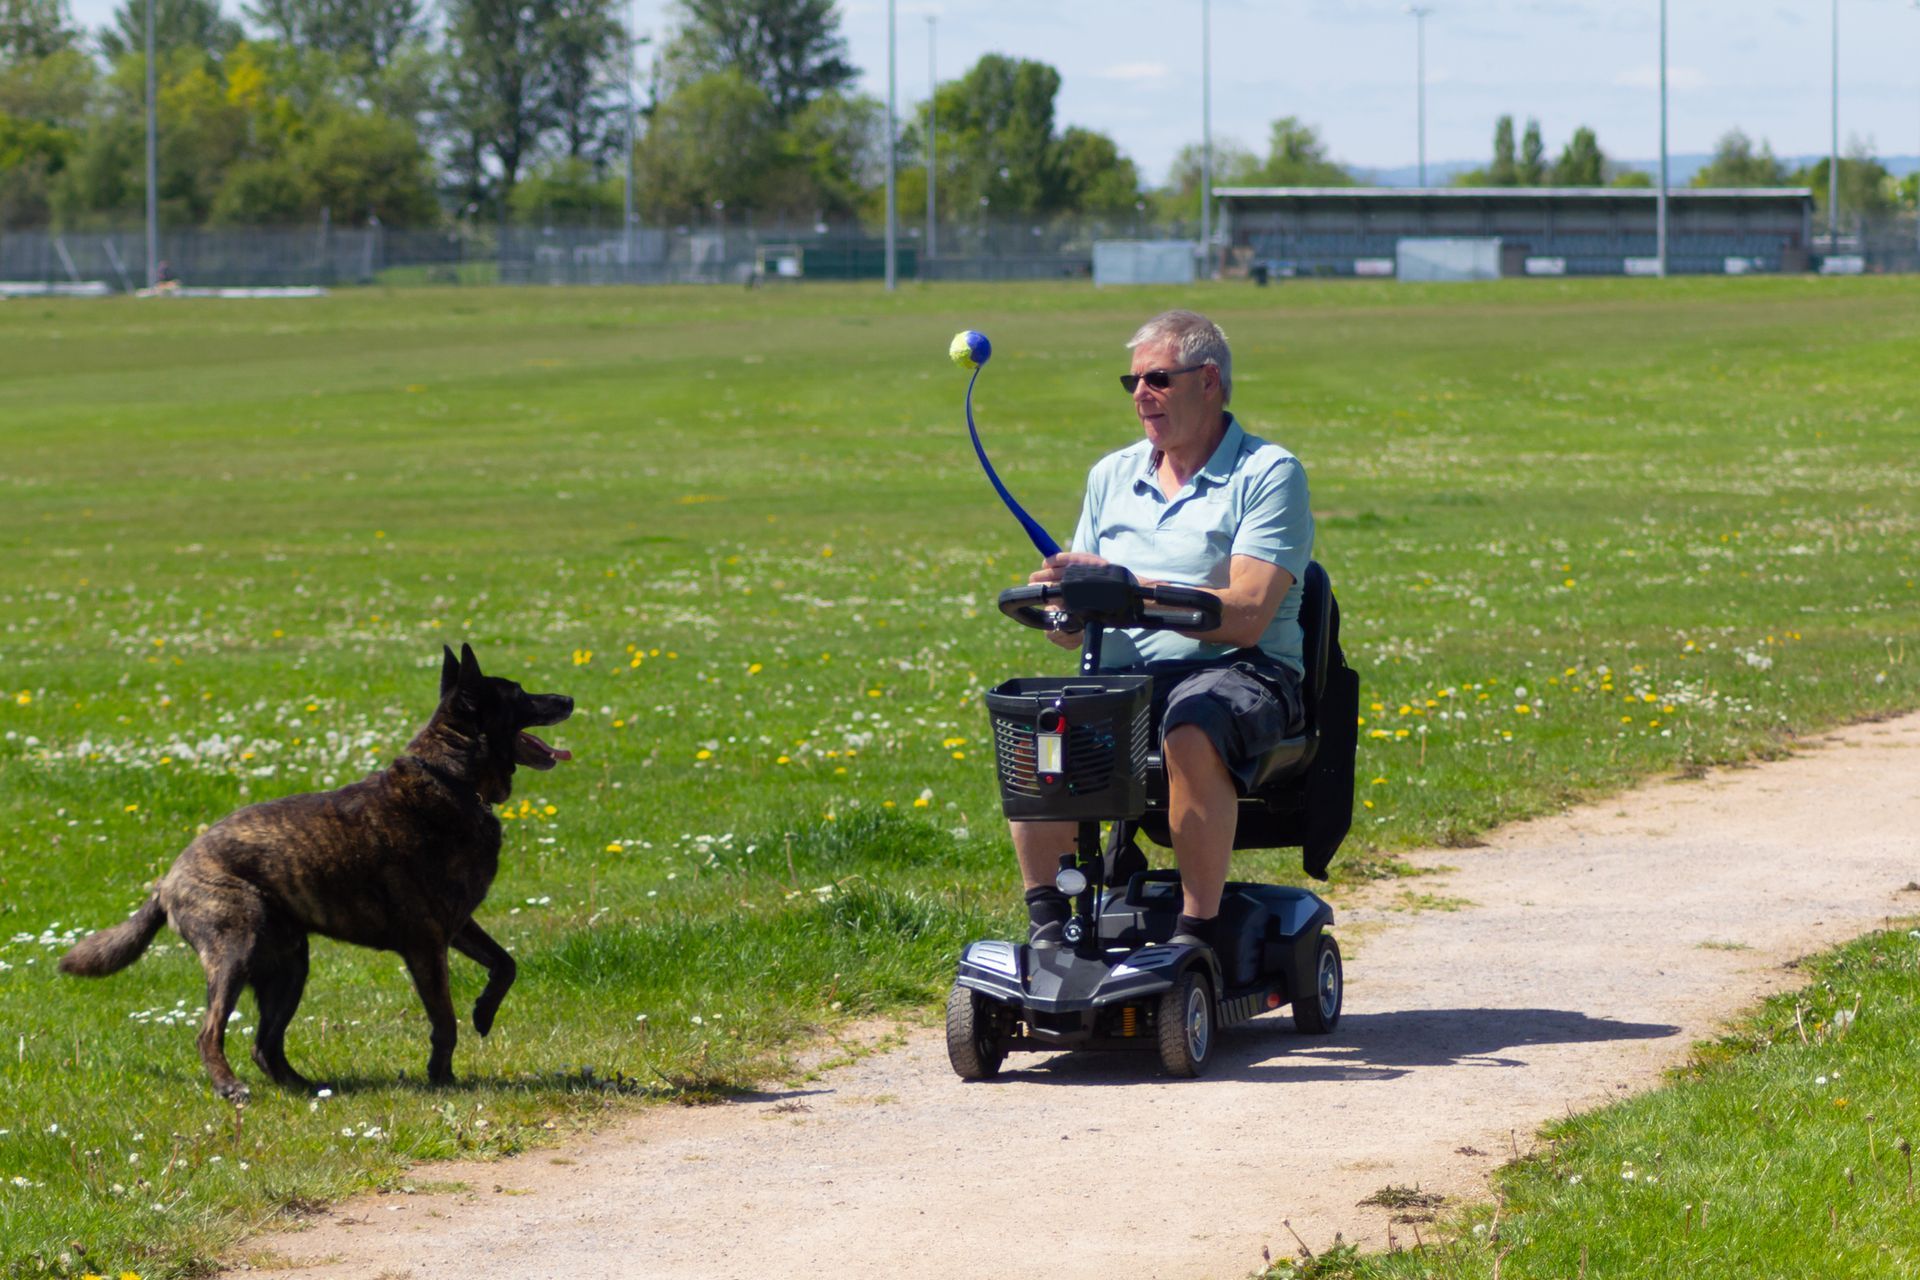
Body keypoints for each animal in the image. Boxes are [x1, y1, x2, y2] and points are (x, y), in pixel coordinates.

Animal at [60, 644, 568, 1105]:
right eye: (520, 694)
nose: (568, 698)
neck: (453, 779)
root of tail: (168, 881)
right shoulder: (426, 944)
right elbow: (444, 1020)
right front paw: (441, 1078)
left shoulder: (457, 924)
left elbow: (505, 964)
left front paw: (483, 1013)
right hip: (234, 951)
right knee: (210, 1033)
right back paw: (230, 1086)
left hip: (289, 967)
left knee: (264, 1045)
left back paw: (308, 1089)